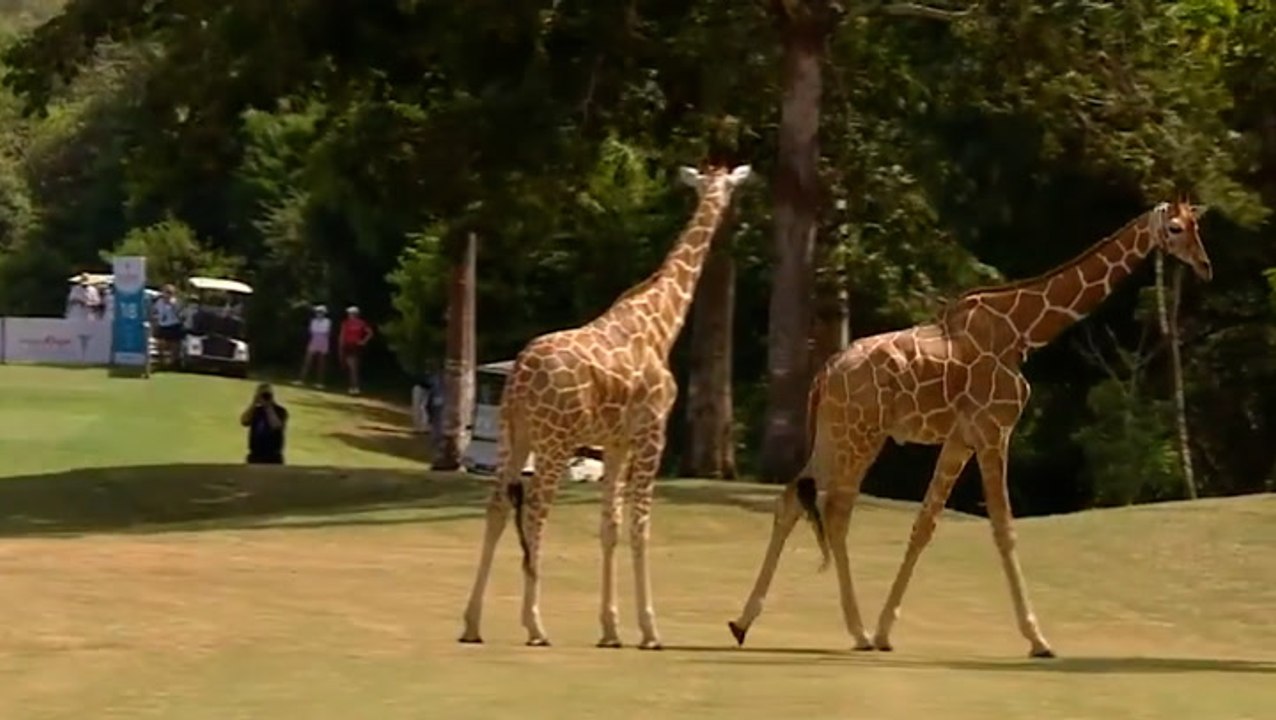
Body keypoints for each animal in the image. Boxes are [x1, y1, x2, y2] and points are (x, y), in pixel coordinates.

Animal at [459, 163, 753, 650]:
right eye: (728, 184)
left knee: (498, 504)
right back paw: (535, 624)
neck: (662, 323)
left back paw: (471, 623)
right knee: (535, 510)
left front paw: (611, 629)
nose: (731, 208)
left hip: (512, 434)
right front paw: (649, 630)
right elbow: (640, 525)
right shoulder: (652, 433)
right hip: (554, 441)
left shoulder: (615, 443)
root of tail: (518, 376)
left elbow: (609, 527)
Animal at [727, 196, 1212, 658]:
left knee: (796, 499)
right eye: (1174, 228)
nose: (1205, 265)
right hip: (859, 436)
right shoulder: (994, 430)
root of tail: (823, 374)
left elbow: (924, 525)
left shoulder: (961, 438)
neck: (1025, 331)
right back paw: (851, 631)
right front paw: (1038, 639)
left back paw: (748, 623)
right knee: (832, 510)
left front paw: (886, 631)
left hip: (837, 434)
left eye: (1196, 225)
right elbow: (1003, 528)